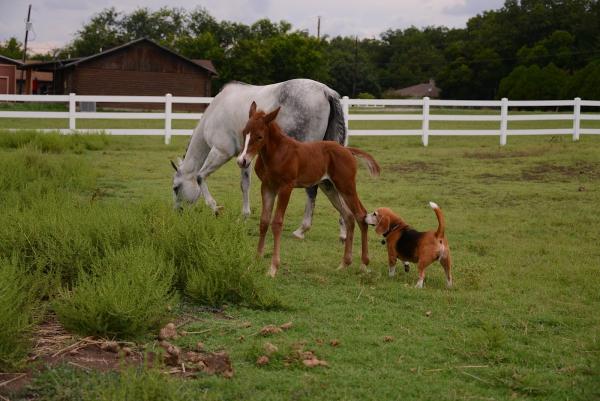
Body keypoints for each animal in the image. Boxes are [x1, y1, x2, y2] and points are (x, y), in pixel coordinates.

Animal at [171, 79, 346, 239]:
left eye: (176, 188)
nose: (178, 213)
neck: (215, 111)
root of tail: (326, 91)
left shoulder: (221, 152)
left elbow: (200, 176)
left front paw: (215, 208)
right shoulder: (244, 157)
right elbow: (245, 185)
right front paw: (244, 217)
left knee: (313, 189)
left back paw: (302, 229)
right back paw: (344, 230)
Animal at [236, 101, 380, 276]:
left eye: (259, 137)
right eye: (244, 132)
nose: (242, 161)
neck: (276, 153)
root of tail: (347, 150)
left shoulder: (286, 187)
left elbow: (277, 223)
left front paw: (273, 268)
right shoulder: (267, 187)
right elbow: (264, 222)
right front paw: (255, 262)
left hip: (346, 185)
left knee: (360, 215)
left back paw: (364, 263)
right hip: (329, 187)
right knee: (349, 216)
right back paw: (344, 263)